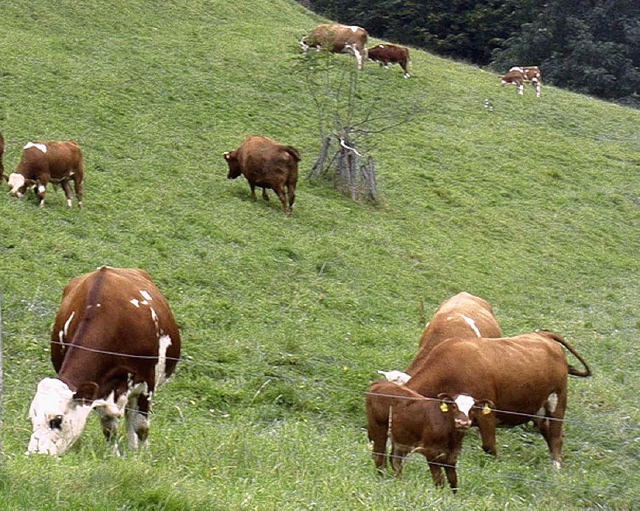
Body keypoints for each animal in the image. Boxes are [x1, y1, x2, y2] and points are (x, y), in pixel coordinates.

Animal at [26, 268, 181, 456]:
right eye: (32, 418)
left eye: (57, 420)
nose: (35, 455)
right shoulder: (100, 388)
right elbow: (109, 428)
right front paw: (114, 457)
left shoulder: (147, 383)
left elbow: (142, 426)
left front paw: (144, 457)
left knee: (131, 417)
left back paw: (134, 450)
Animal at [404, 332, 592, 468]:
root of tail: (544, 335)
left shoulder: (486, 413)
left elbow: (489, 447)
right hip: (538, 409)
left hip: (557, 401)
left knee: (555, 436)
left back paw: (556, 468)